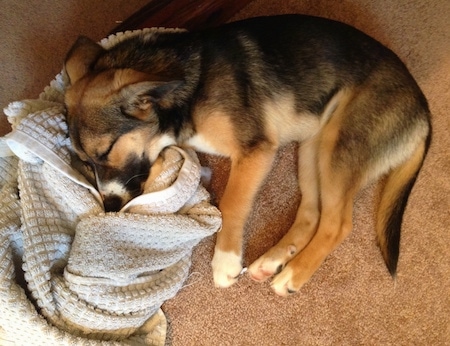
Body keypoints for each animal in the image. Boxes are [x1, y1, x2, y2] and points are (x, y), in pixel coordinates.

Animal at [62, 14, 428, 296]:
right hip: (312, 148)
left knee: (337, 223)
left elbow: (232, 204)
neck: (187, 87)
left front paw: (225, 260)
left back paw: (293, 274)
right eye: (84, 161)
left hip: (339, 147)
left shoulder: (256, 151)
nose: (110, 207)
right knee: (312, 213)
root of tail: (423, 109)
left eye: (105, 151)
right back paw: (272, 261)